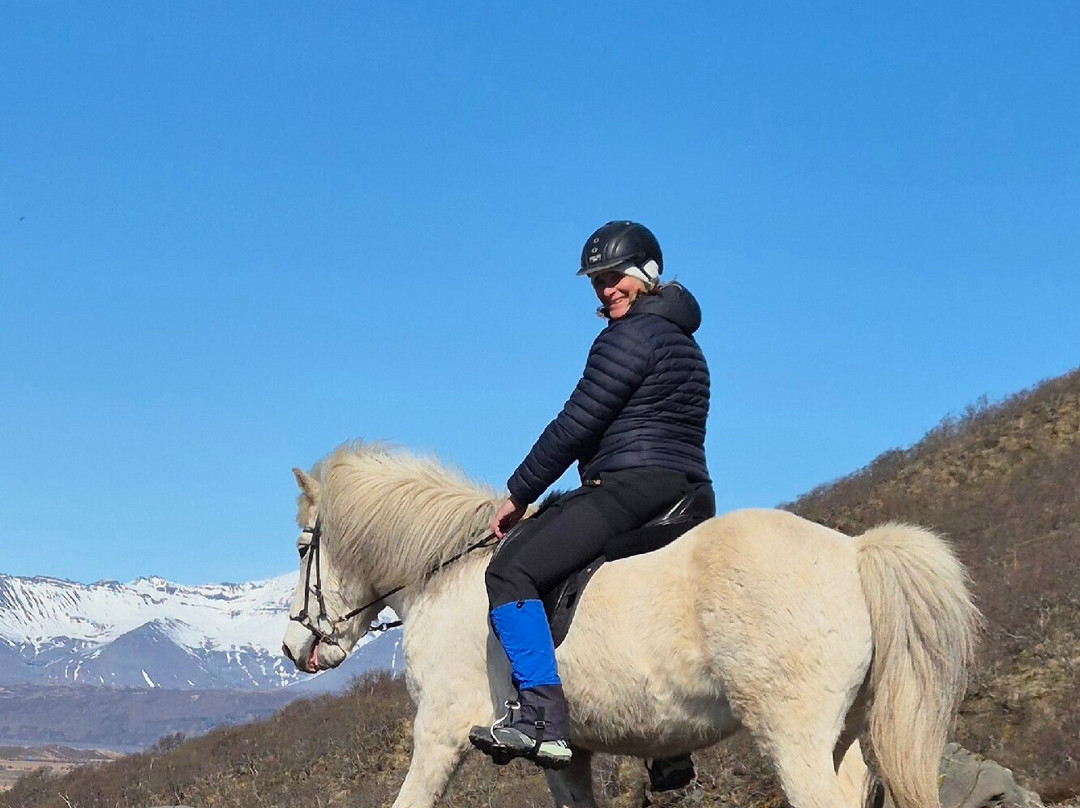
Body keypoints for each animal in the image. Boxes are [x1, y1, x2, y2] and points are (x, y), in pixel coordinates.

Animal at [281, 440, 980, 808]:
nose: (292, 648)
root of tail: (854, 553)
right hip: (842, 737)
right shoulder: (569, 756)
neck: (446, 573)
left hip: (793, 737)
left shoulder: (439, 735)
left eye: (302, 548)